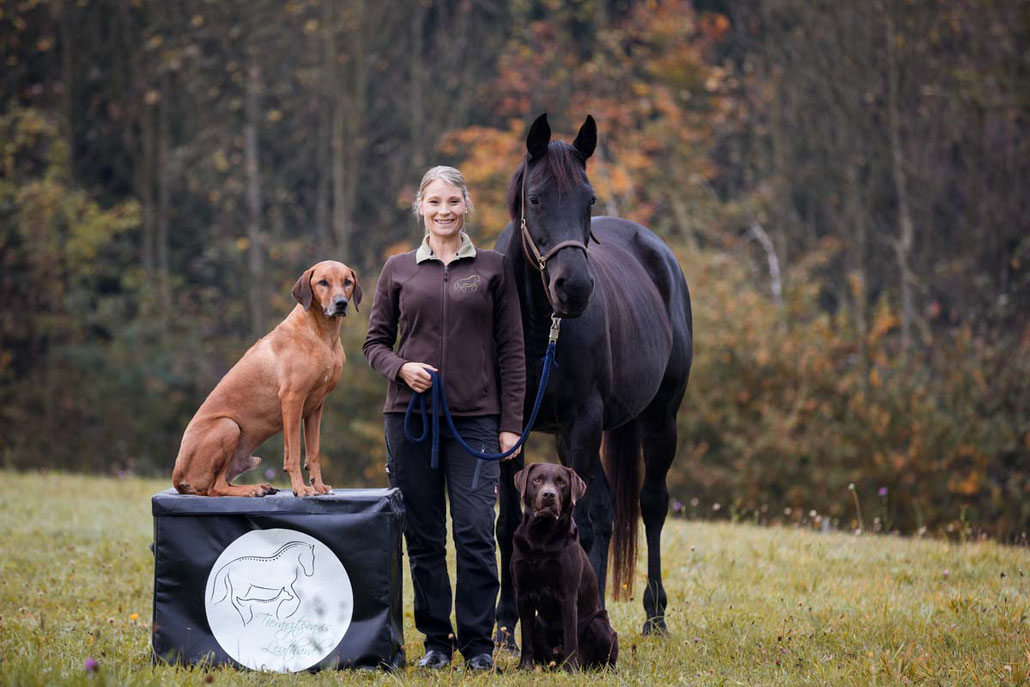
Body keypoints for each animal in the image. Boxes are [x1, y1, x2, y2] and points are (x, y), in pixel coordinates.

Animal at [170, 260, 360, 496]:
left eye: (347, 281)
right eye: (323, 282)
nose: (341, 303)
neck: (322, 335)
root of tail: (177, 476)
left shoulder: (316, 406)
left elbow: (313, 453)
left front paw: (319, 486)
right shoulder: (292, 398)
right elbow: (293, 452)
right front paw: (301, 489)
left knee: (222, 484)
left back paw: (260, 486)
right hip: (228, 425)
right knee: (215, 488)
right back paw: (252, 490)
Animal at [492, 114, 692, 638]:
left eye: (590, 200)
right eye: (535, 198)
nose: (575, 288)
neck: (538, 327)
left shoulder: (581, 422)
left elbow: (581, 518)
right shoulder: (506, 430)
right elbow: (506, 522)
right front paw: (504, 627)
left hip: (658, 419)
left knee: (649, 504)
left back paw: (654, 615)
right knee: (603, 509)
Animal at [508, 461, 613, 671]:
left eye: (561, 482)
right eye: (537, 480)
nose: (549, 495)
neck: (541, 536)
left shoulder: (568, 594)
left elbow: (570, 635)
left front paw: (570, 669)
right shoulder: (522, 594)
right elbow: (526, 638)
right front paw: (524, 667)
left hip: (600, 624)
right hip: (539, 624)